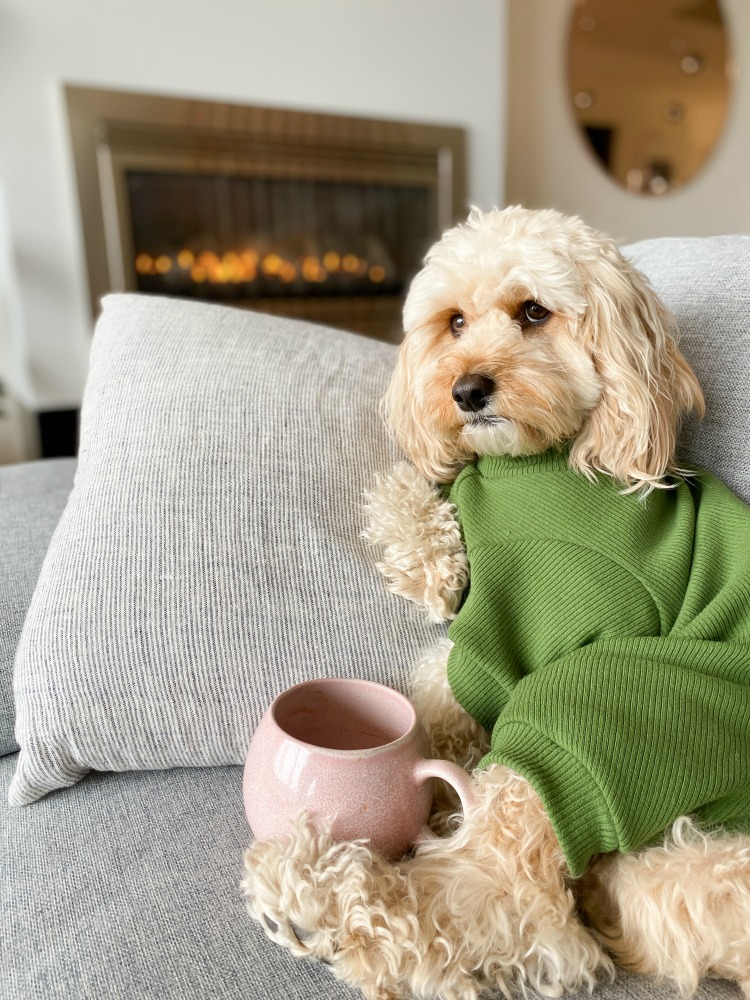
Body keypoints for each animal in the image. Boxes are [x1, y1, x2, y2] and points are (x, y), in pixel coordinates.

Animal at [242, 207, 750, 996]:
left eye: (534, 312)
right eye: (453, 322)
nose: (466, 389)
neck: (532, 469)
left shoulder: (564, 624)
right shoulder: (484, 637)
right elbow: (438, 674)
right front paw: (428, 555)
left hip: (612, 701)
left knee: (514, 896)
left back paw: (323, 904)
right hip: (665, 861)